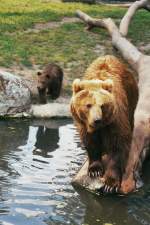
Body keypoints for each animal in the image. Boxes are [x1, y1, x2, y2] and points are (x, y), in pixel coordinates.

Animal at [70, 55, 138, 191]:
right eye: (88, 105)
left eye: (102, 105)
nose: (97, 120)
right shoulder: (84, 125)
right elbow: (91, 142)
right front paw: (95, 170)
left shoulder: (115, 120)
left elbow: (118, 145)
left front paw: (110, 183)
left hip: (131, 94)